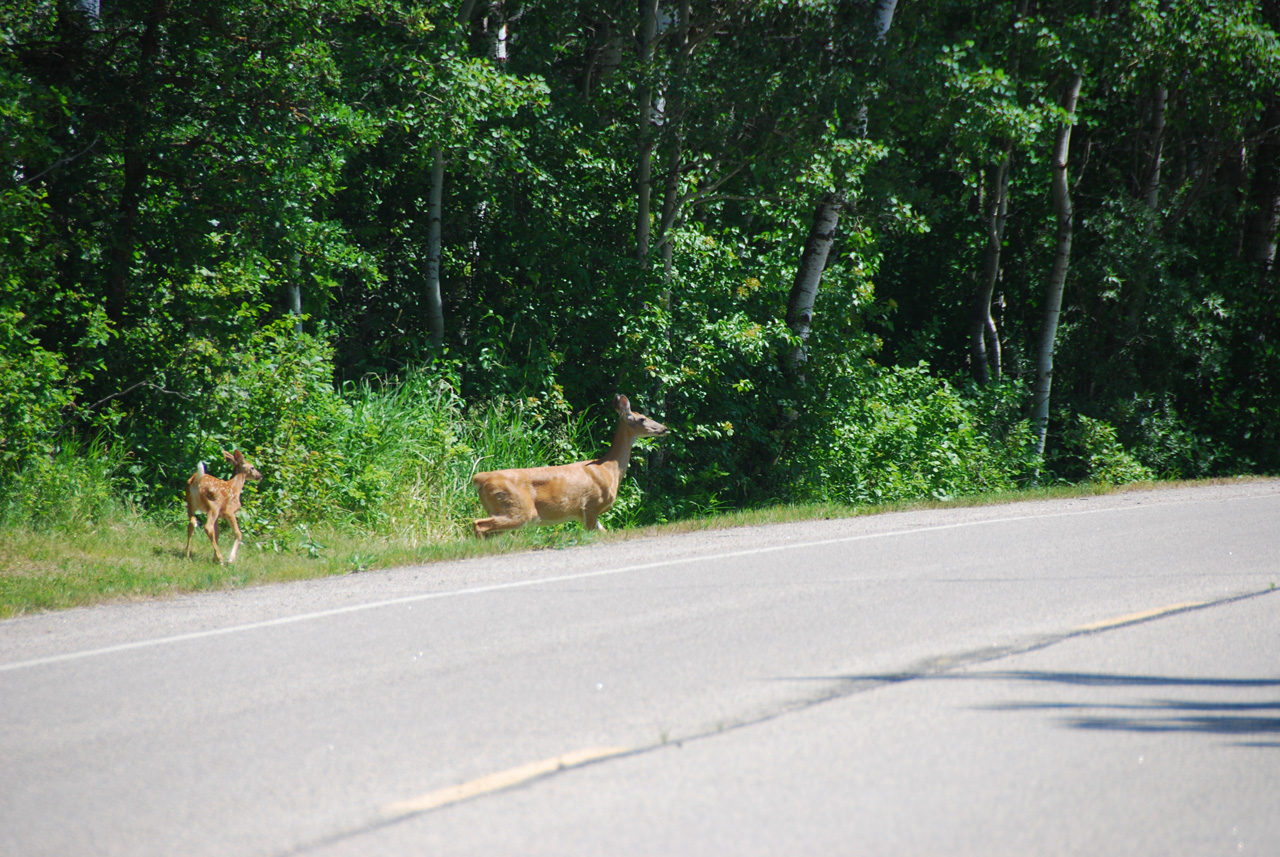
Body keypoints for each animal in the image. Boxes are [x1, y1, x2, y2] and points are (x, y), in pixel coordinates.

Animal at [473, 396, 670, 537]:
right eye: (643, 418)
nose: (664, 428)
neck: (609, 469)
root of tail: (480, 478)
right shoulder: (590, 506)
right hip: (519, 508)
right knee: (478, 524)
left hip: (498, 508)